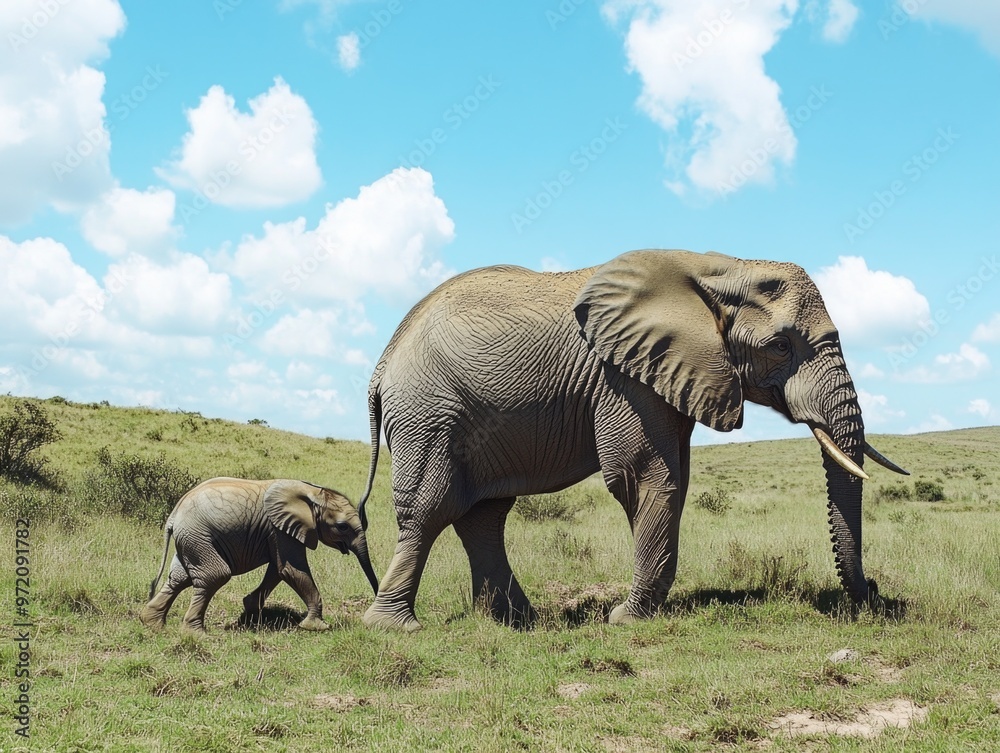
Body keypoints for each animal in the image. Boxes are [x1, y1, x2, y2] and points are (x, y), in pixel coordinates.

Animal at [140, 477, 379, 633]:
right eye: (342, 527)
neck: (313, 492)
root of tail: (173, 516)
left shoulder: (278, 530)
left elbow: (278, 569)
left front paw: (251, 613)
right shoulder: (280, 527)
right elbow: (291, 569)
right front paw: (317, 627)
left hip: (191, 539)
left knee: (180, 578)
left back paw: (151, 624)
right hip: (197, 536)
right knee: (214, 575)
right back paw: (196, 634)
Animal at [355, 249, 909, 633]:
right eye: (780, 346)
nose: (874, 591)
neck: (720, 268)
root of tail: (382, 364)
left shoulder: (672, 373)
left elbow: (674, 481)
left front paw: (634, 613)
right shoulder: (625, 378)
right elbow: (644, 478)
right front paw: (628, 619)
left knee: (483, 516)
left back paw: (517, 622)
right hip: (430, 412)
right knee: (432, 508)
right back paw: (395, 626)